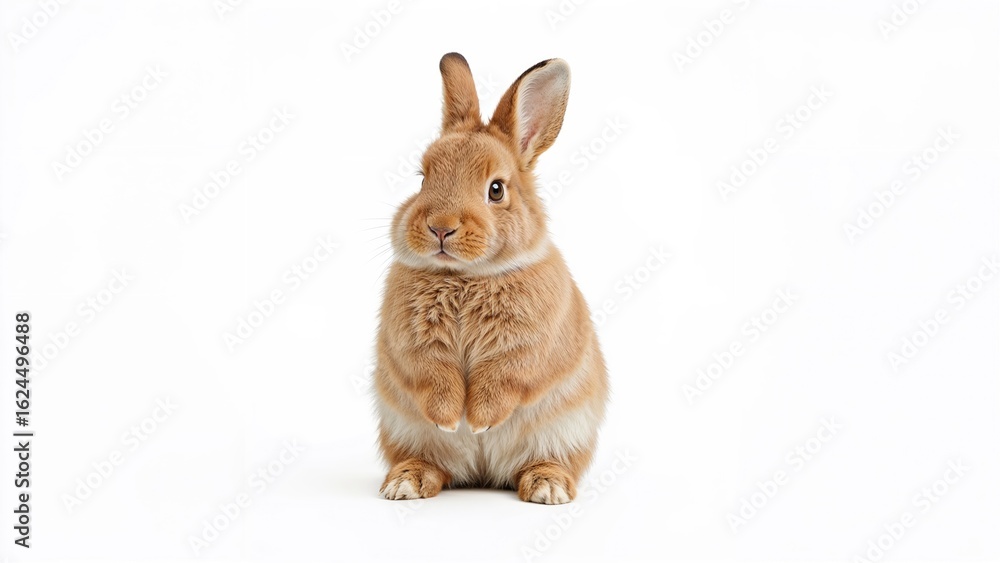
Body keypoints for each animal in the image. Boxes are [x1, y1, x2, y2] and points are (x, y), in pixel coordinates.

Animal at [374, 53, 608, 505]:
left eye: (496, 190)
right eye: (423, 178)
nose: (440, 227)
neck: (467, 276)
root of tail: (483, 474)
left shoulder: (525, 346)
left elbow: (504, 377)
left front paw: (479, 420)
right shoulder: (413, 344)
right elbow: (434, 377)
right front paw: (452, 420)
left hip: (564, 430)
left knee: (547, 462)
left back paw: (548, 487)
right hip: (405, 430)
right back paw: (405, 483)